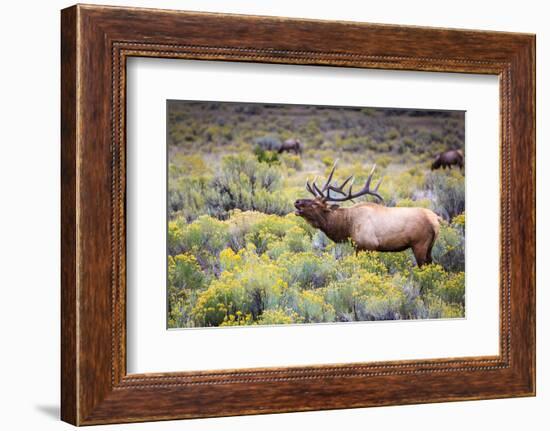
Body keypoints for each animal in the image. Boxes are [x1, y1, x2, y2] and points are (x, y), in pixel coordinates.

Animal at [296, 165, 442, 266]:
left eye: (315, 204)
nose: (297, 201)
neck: (347, 227)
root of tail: (436, 220)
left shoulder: (369, 245)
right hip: (429, 247)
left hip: (419, 244)